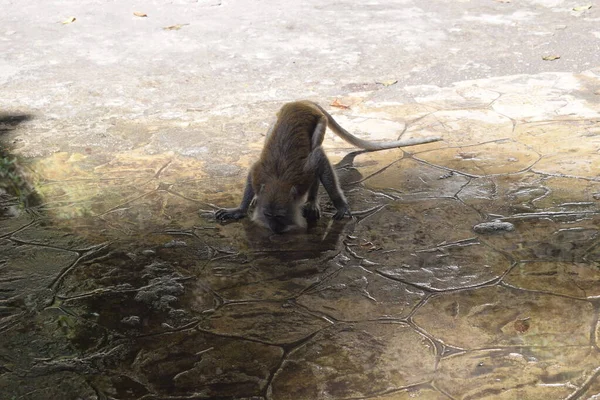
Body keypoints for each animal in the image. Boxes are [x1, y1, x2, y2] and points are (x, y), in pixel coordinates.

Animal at [216, 101, 440, 234]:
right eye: (269, 216)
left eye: (279, 216)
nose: (275, 229)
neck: (279, 181)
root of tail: (301, 102)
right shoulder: (259, 173)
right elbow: (253, 169)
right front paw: (240, 209)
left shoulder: (303, 173)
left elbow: (319, 161)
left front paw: (340, 206)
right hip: (275, 119)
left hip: (320, 121)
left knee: (316, 147)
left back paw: (312, 201)